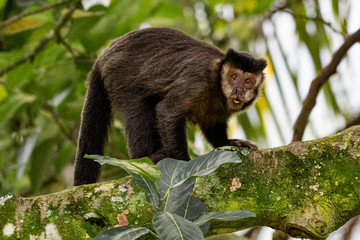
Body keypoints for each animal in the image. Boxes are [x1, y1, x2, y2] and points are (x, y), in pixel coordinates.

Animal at [73, 27, 266, 186]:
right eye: (234, 77)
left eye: (248, 81)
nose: (238, 89)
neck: (216, 84)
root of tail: (103, 56)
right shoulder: (197, 81)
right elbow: (167, 112)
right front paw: (184, 164)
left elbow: (212, 125)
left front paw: (228, 142)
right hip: (118, 72)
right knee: (139, 107)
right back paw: (144, 160)